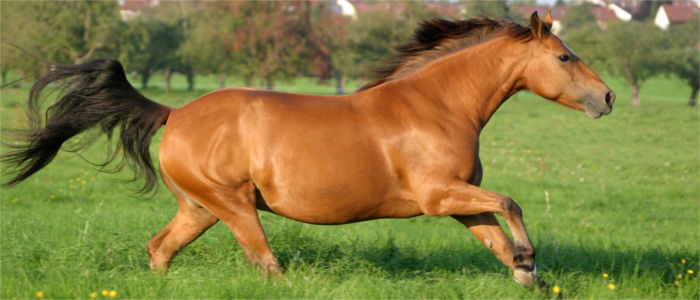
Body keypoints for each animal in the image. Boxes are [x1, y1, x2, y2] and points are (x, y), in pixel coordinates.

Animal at [1, 12, 612, 290]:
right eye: (563, 57)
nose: (606, 97)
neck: (436, 105)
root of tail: (173, 114)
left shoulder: (459, 202)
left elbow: (496, 234)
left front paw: (527, 273)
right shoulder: (439, 196)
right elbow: (512, 203)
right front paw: (530, 260)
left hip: (200, 208)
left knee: (159, 249)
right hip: (233, 207)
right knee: (266, 265)